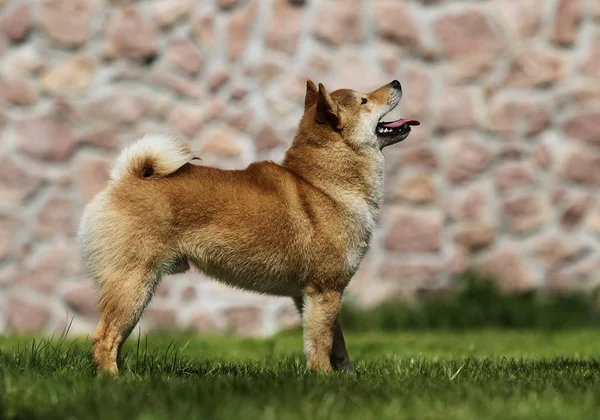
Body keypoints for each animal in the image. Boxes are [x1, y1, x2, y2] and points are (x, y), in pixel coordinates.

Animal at [77, 79, 420, 374]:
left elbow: (338, 345)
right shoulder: (325, 290)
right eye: (364, 100)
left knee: (114, 341)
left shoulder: (313, 295)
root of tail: (125, 179)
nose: (396, 82)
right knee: (104, 339)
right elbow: (321, 344)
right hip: (133, 285)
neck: (322, 184)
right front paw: (324, 378)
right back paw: (116, 381)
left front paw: (346, 377)